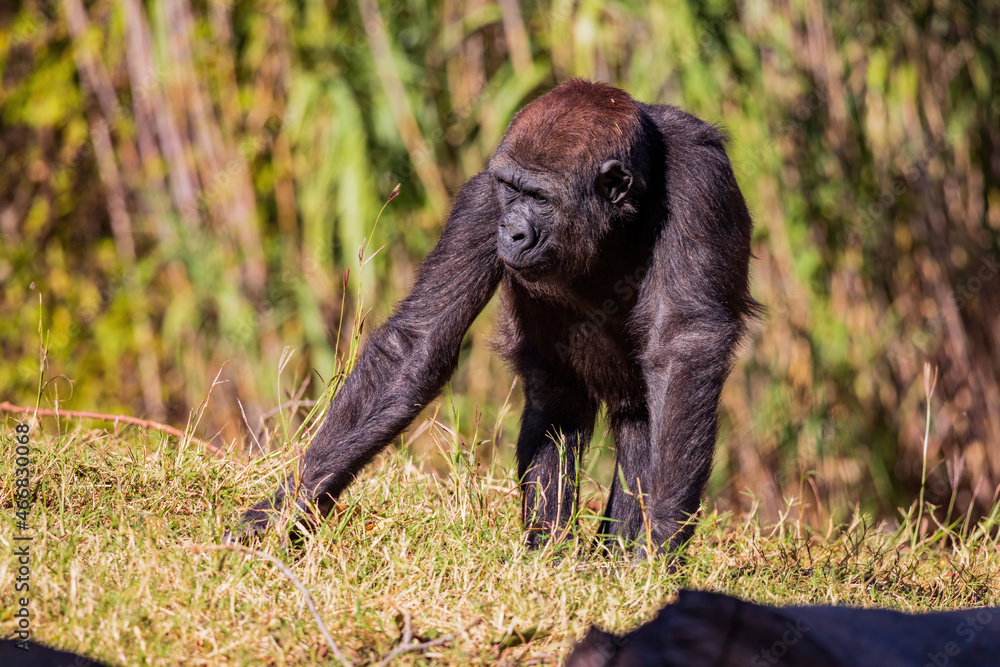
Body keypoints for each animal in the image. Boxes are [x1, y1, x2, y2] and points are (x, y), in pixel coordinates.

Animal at [230, 79, 758, 555]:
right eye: (511, 189)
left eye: (540, 197)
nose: (512, 231)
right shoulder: (482, 198)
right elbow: (417, 341)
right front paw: (286, 506)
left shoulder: (699, 182)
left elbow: (683, 348)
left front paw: (658, 545)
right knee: (556, 404)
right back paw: (550, 552)